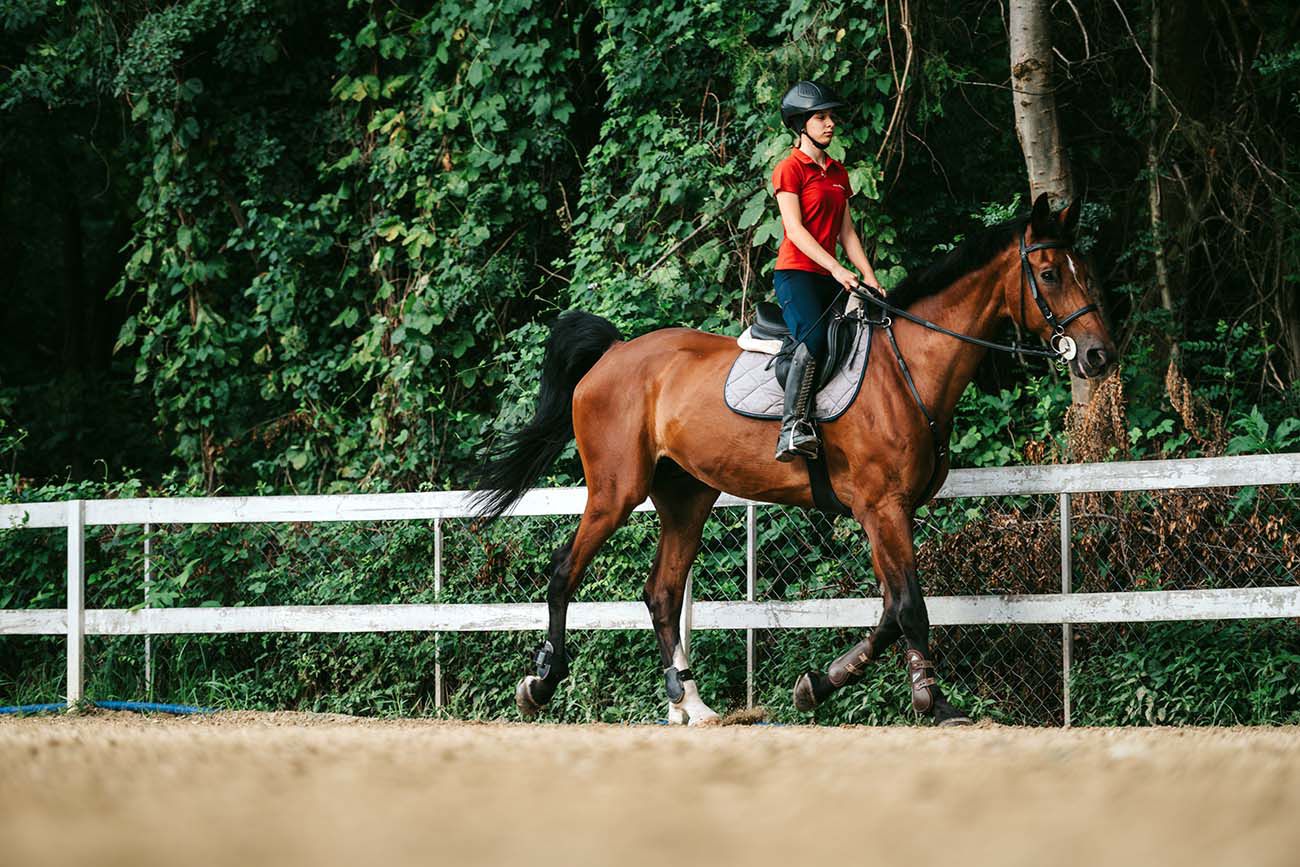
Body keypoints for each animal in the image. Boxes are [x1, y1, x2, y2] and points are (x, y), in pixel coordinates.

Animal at [472, 193, 1116, 726]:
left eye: (1087, 272)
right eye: (1050, 273)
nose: (1099, 356)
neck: (907, 365)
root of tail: (614, 352)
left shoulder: (890, 511)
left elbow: (888, 611)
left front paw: (818, 685)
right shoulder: (882, 507)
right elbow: (910, 606)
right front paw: (933, 702)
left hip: (685, 497)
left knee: (662, 592)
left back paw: (691, 703)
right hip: (615, 491)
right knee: (564, 571)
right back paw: (541, 684)